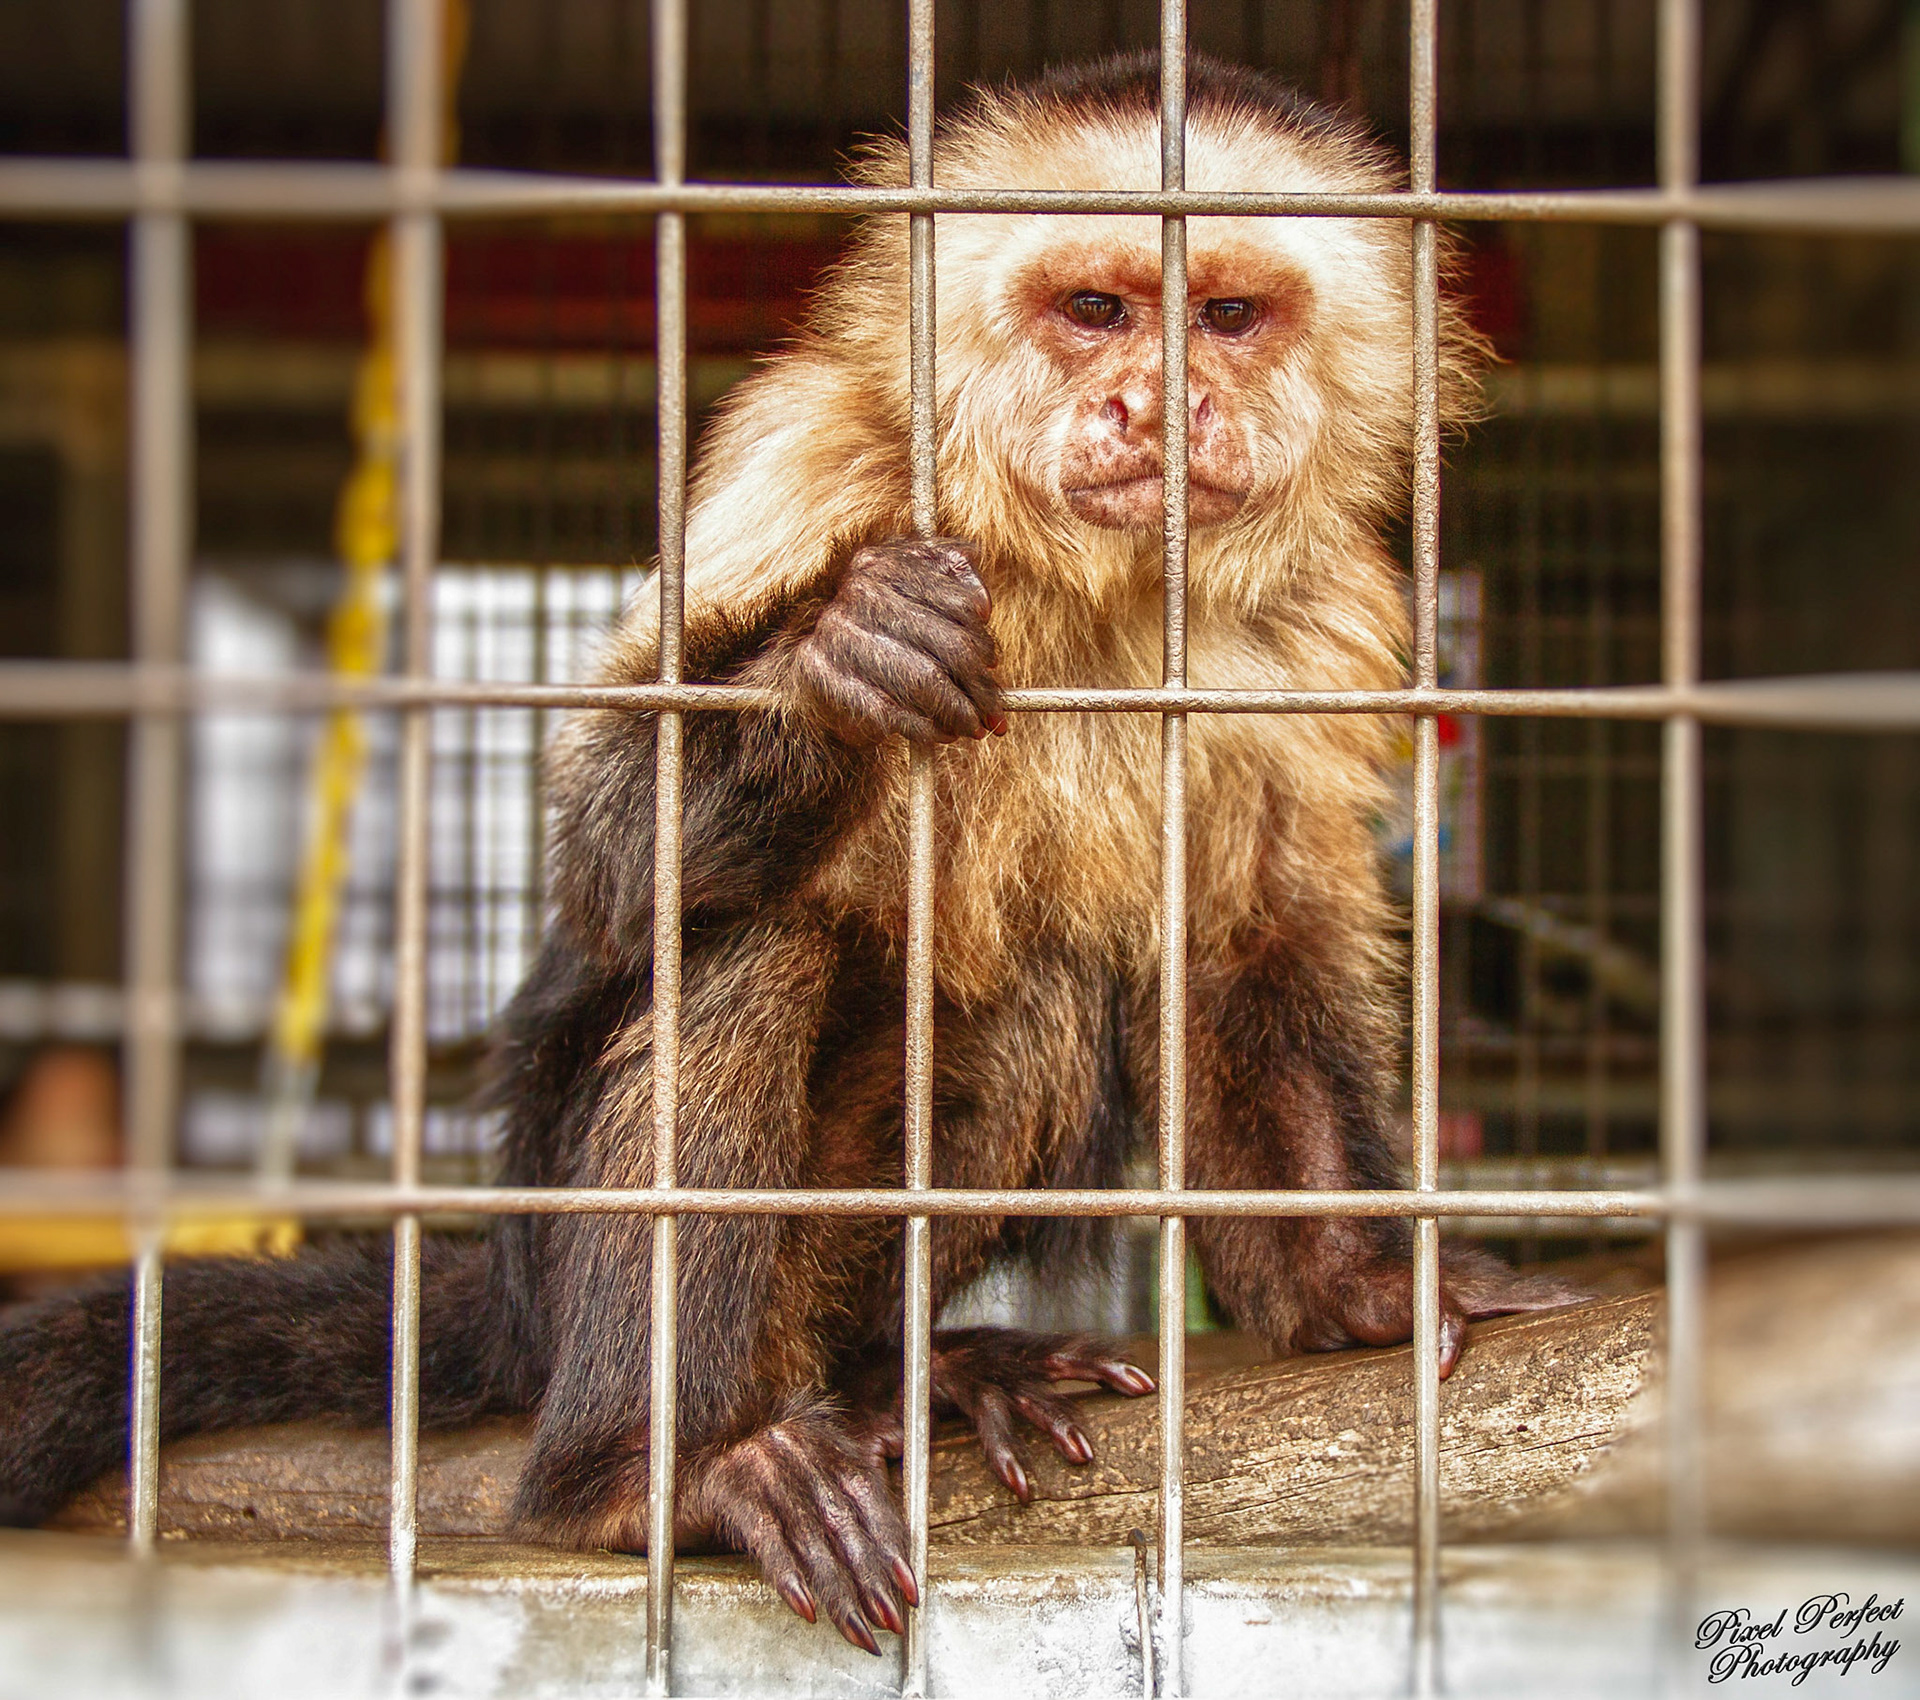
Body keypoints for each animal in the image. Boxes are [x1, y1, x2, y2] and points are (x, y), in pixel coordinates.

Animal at [0, 53, 1584, 1654]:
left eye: (1230, 316)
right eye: (1097, 308)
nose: (1159, 400)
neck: (1093, 591)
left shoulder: (1318, 620)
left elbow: (1247, 943)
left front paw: (1358, 1280)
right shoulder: (805, 467)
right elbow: (613, 856)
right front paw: (837, 664)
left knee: (1038, 1006)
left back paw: (909, 1372)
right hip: (562, 1264)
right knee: (751, 940)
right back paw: (646, 1470)